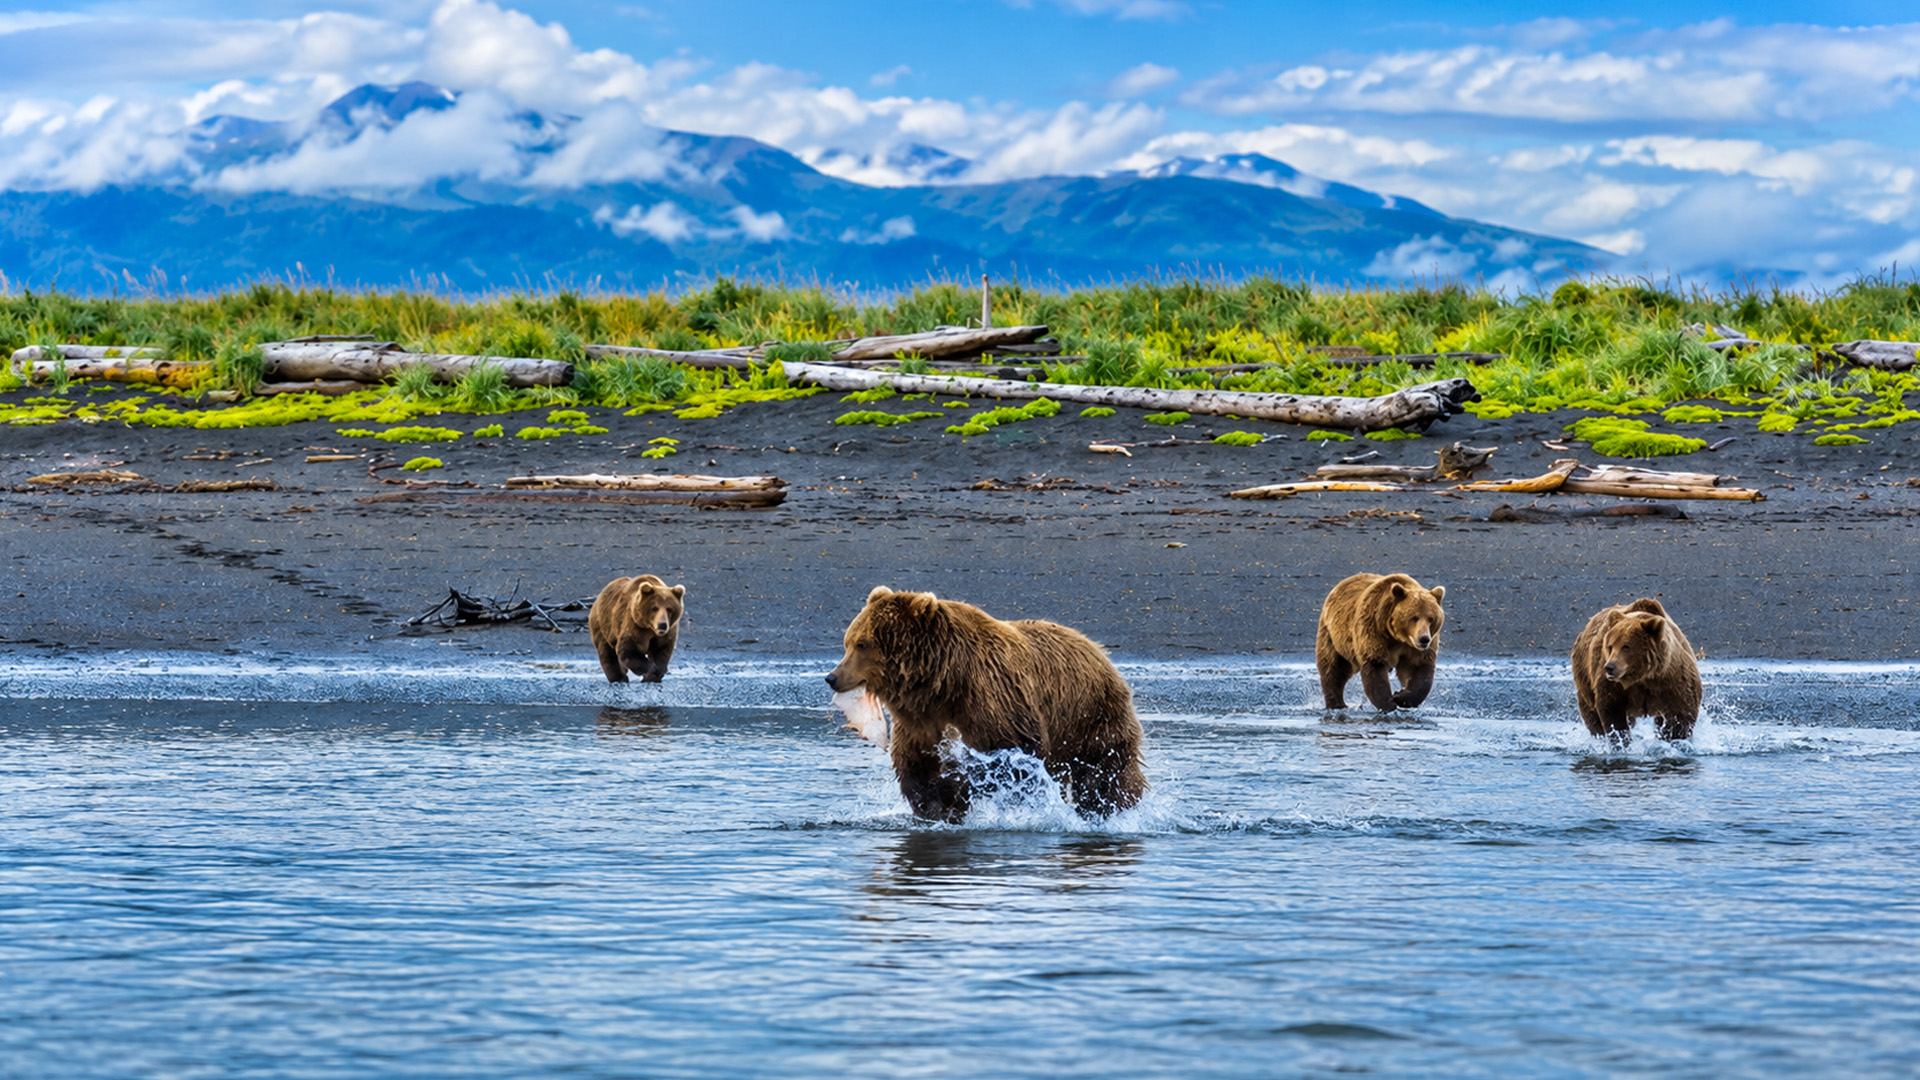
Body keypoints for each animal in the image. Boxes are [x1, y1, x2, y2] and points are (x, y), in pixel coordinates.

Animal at [824, 586, 1146, 823]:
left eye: (863, 644)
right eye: (848, 642)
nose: (832, 677)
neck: (940, 681)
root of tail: (1099, 649)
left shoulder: (993, 702)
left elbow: (1007, 762)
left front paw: (955, 787)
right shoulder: (920, 722)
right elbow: (915, 766)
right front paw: (937, 804)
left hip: (1090, 719)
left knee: (1104, 777)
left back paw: (1110, 810)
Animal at [1315, 572, 1446, 711]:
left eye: (1431, 619)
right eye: (1414, 617)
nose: (1424, 639)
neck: (1398, 637)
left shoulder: (1416, 648)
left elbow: (1418, 669)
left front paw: (1401, 697)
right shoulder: (1373, 631)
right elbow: (1375, 666)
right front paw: (1389, 703)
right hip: (1334, 636)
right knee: (1333, 668)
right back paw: (1337, 704)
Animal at [1570, 598, 1701, 742]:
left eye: (1626, 647)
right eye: (1610, 646)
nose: (1609, 667)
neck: (1643, 676)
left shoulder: (1672, 679)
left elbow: (1681, 714)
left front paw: (1672, 738)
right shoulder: (1614, 686)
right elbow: (1611, 710)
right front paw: (1620, 738)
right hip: (1585, 680)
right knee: (1592, 714)